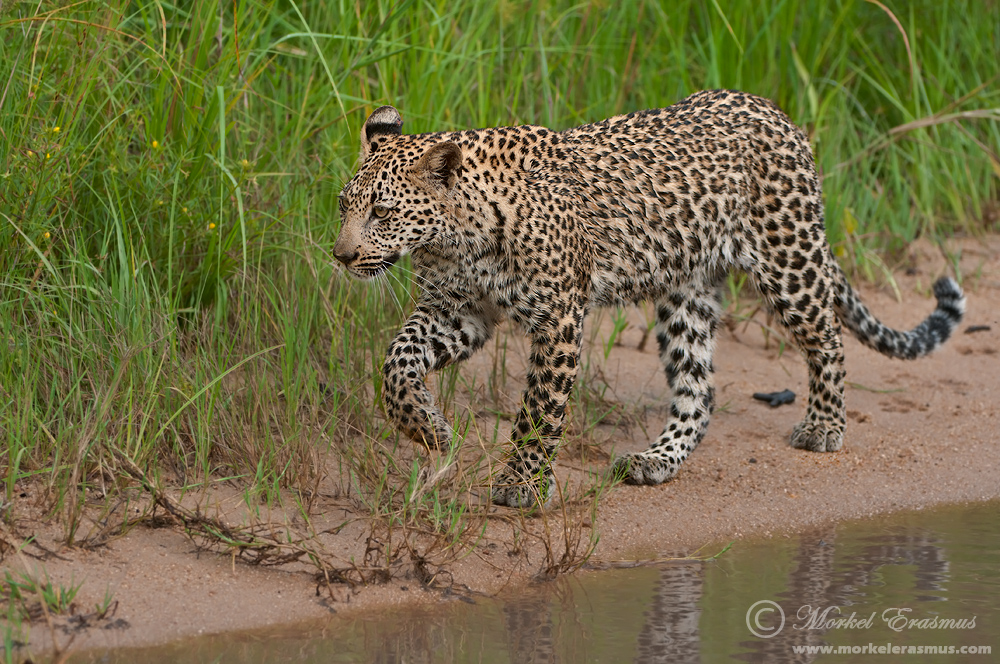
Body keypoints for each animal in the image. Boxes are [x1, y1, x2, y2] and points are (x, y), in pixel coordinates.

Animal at [332, 89, 964, 508]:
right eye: (343, 205)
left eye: (382, 212)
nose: (340, 255)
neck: (453, 240)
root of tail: (772, 108)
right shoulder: (458, 312)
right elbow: (396, 362)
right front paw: (428, 429)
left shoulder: (558, 318)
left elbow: (539, 409)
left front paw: (522, 483)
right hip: (688, 292)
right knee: (699, 387)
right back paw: (657, 460)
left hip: (789, 259)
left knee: (828, 339)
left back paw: (825, 426)